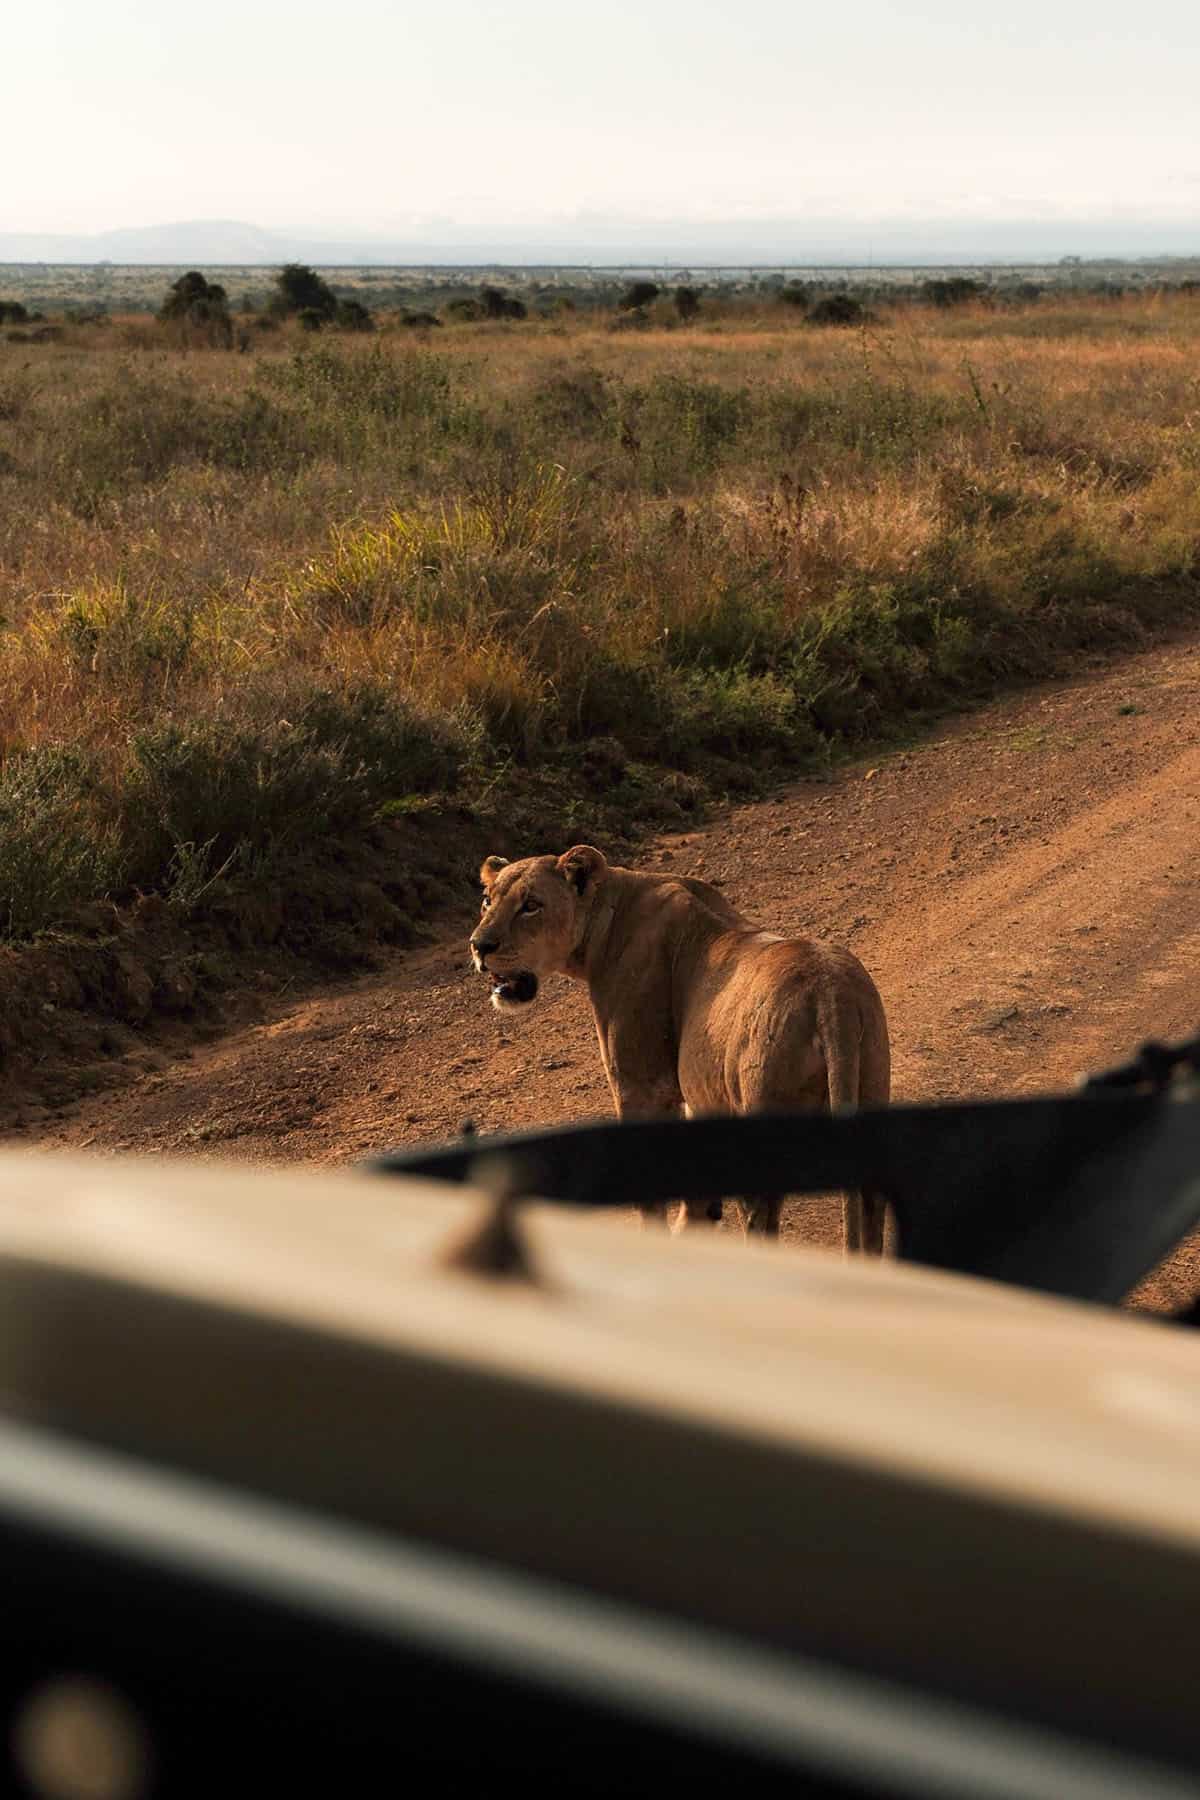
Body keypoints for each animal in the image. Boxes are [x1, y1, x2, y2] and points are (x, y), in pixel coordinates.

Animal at [468, 844, 891, 1253]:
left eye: (531, 905)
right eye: (487, 901)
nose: (479, 946)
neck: (607, 918)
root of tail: (831, 994)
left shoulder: (642, 1087)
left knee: (762, 1221)